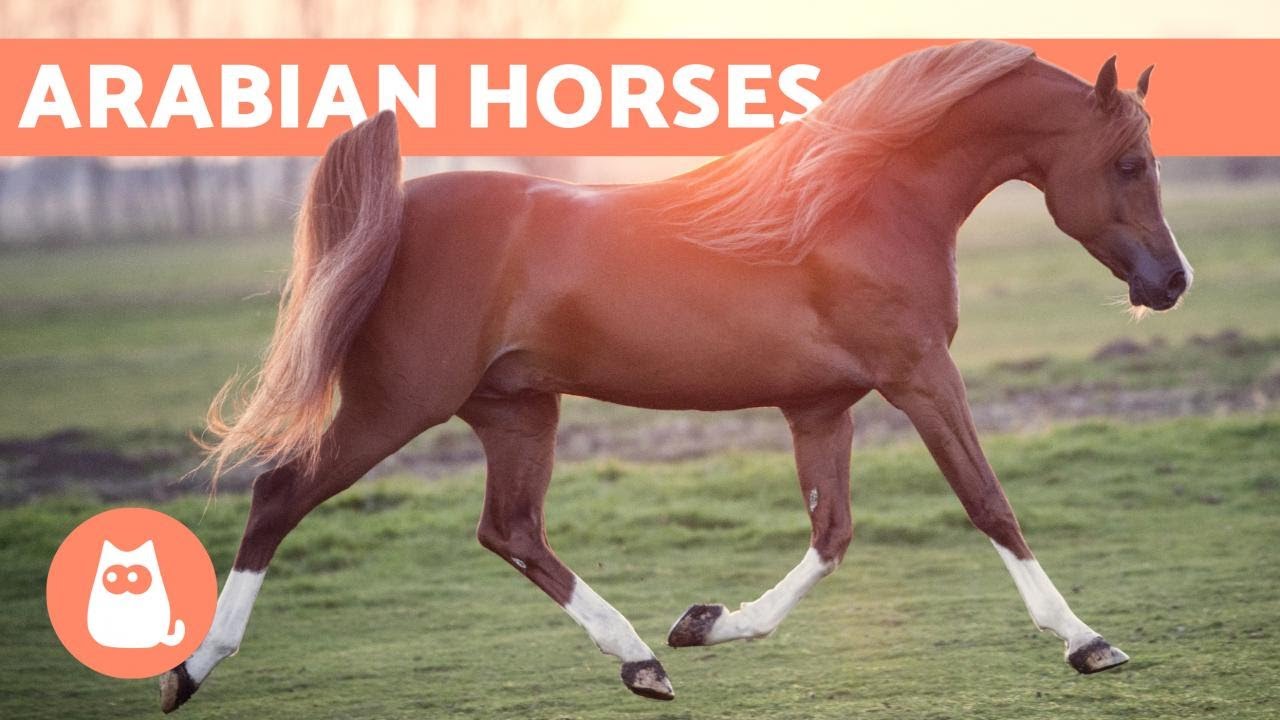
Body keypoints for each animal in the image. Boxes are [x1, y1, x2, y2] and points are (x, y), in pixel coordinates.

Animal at [160, 40, 1192, 711]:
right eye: (1130, 162)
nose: (1172, 282)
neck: (860, 204)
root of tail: (403, 208)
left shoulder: (821, 408)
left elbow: (832, 536)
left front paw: (705, 623)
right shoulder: (922, 378)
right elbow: (989, 504)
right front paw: (1088, 642)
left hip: (516, 410)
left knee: (511, 531)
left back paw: (641, 661)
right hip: (396, 405)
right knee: (280, 494)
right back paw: (191, 669)